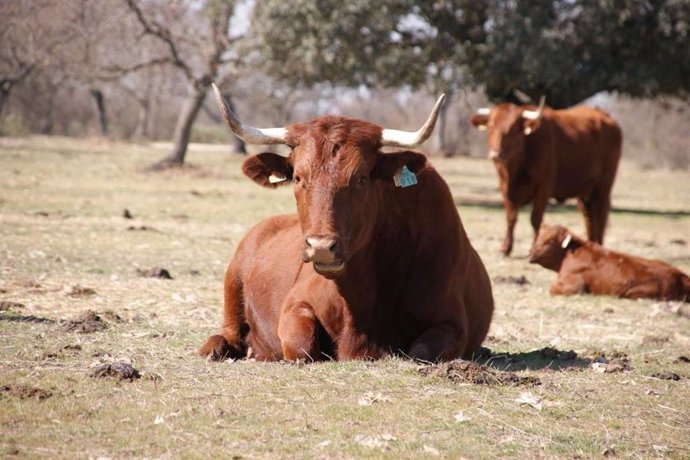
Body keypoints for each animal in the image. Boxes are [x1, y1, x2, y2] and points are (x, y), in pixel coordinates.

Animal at [196, 83, 492, 362]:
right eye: (298, 177)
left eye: (361, 178)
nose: (321, 247)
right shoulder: (295, 304)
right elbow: (302, 347)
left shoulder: (452, 324)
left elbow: (421, 351)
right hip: (232, 284)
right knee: (229, 333)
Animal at [470, 100, 620, 255]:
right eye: (491, 126)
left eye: (513, 129)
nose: (496, 154)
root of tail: (605, 116)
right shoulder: (505, 186)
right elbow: (511, 217)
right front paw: (505, 248)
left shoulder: (543, 187)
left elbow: (535, 219)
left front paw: (534, 247)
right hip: (585, 191)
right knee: (589, 217)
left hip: (603, 186)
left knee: (601, 215)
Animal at [528, 224, 688, 302]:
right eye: (539, 236)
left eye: (550, 241)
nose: (530, 253)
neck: (569, 254)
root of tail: (682, 276)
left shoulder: (573, 286)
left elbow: (552, 289)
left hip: (634, 293)